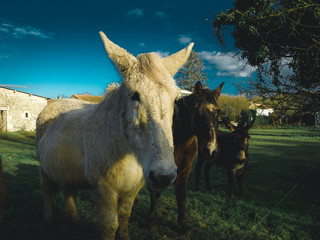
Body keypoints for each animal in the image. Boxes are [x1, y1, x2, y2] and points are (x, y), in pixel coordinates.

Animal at [36, 32, 194, 240]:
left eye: (176, 98)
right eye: (134, 95)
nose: (163, 176)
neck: (127, 151)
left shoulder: (132, 189)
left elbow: (125, 217)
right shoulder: (105, 190)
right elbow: (110, 225)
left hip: (65, 170)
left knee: (68, 191)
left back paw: (75, 222)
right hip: (45, 171)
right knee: (47, 193)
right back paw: (49, 222)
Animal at [148, 81, 222, 232]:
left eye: (219, 112)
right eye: (197, 111)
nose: (211, 150)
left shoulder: (185, 169)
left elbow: (181, 193)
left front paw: (183, 224)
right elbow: (156, 193)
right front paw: (151, 222)